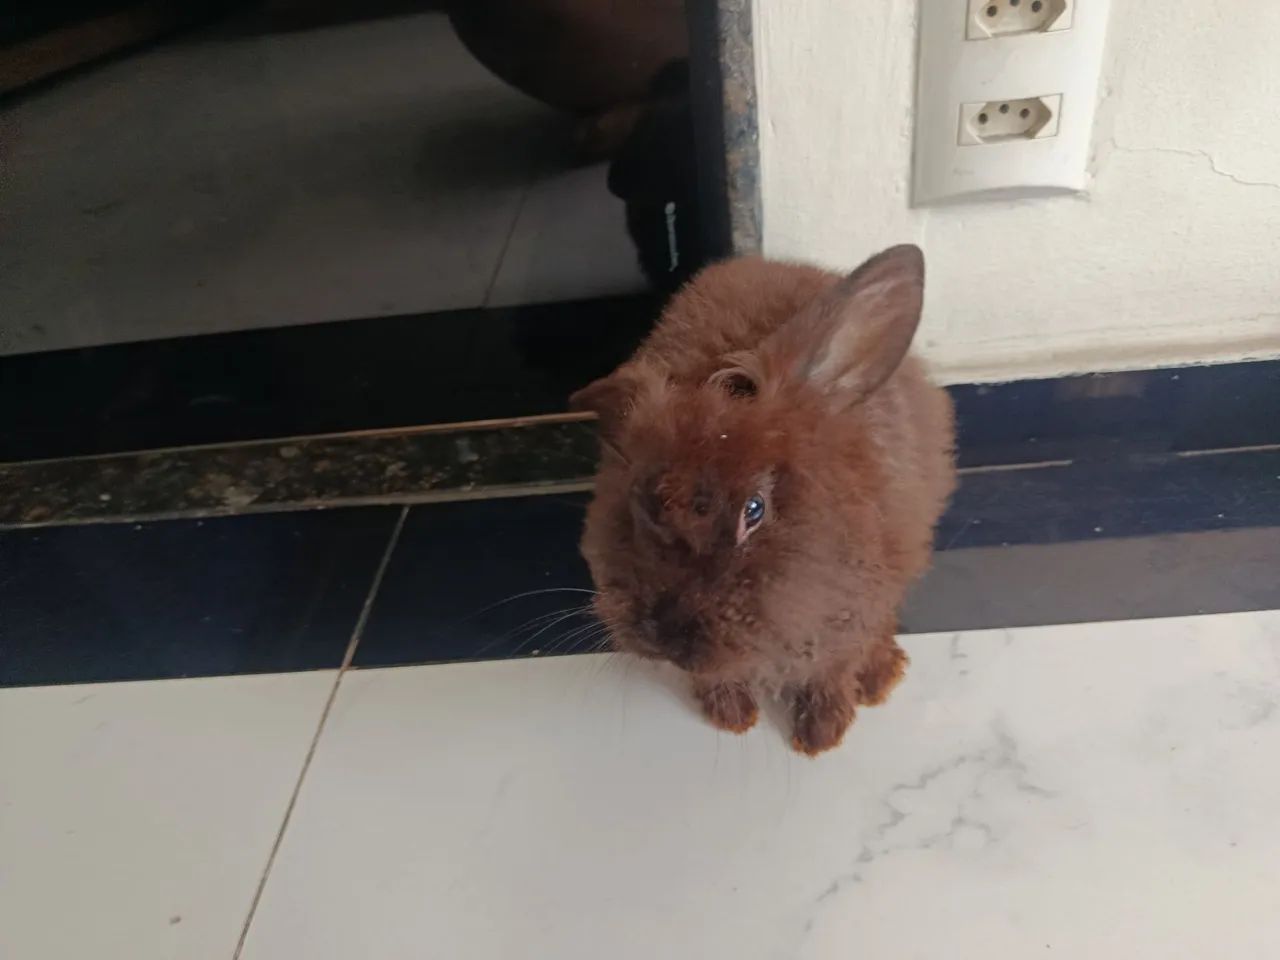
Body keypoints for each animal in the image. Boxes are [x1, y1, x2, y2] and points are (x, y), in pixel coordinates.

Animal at [570, 244, 956, 755]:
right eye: (636, 496)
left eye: (754, 510)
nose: (663, 635)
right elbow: (718, 677)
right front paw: (733, 717)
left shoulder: (846, 624)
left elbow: (830, 677)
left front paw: (820, 737)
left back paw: (880, 677)